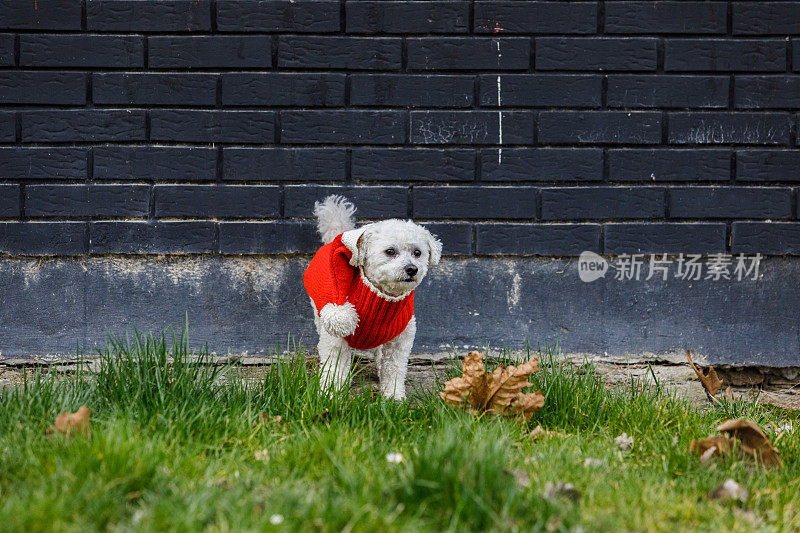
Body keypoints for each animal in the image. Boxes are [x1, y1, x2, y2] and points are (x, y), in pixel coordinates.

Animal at [304, 195, 444, 400]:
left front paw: (394, 398)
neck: (380, 298)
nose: (412, 269)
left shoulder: (399, 341)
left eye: (417, 253)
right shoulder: (336, 340)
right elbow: (335, 367)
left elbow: (394, 370)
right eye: (390, 251)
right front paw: (330, 394)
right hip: (320, 314)